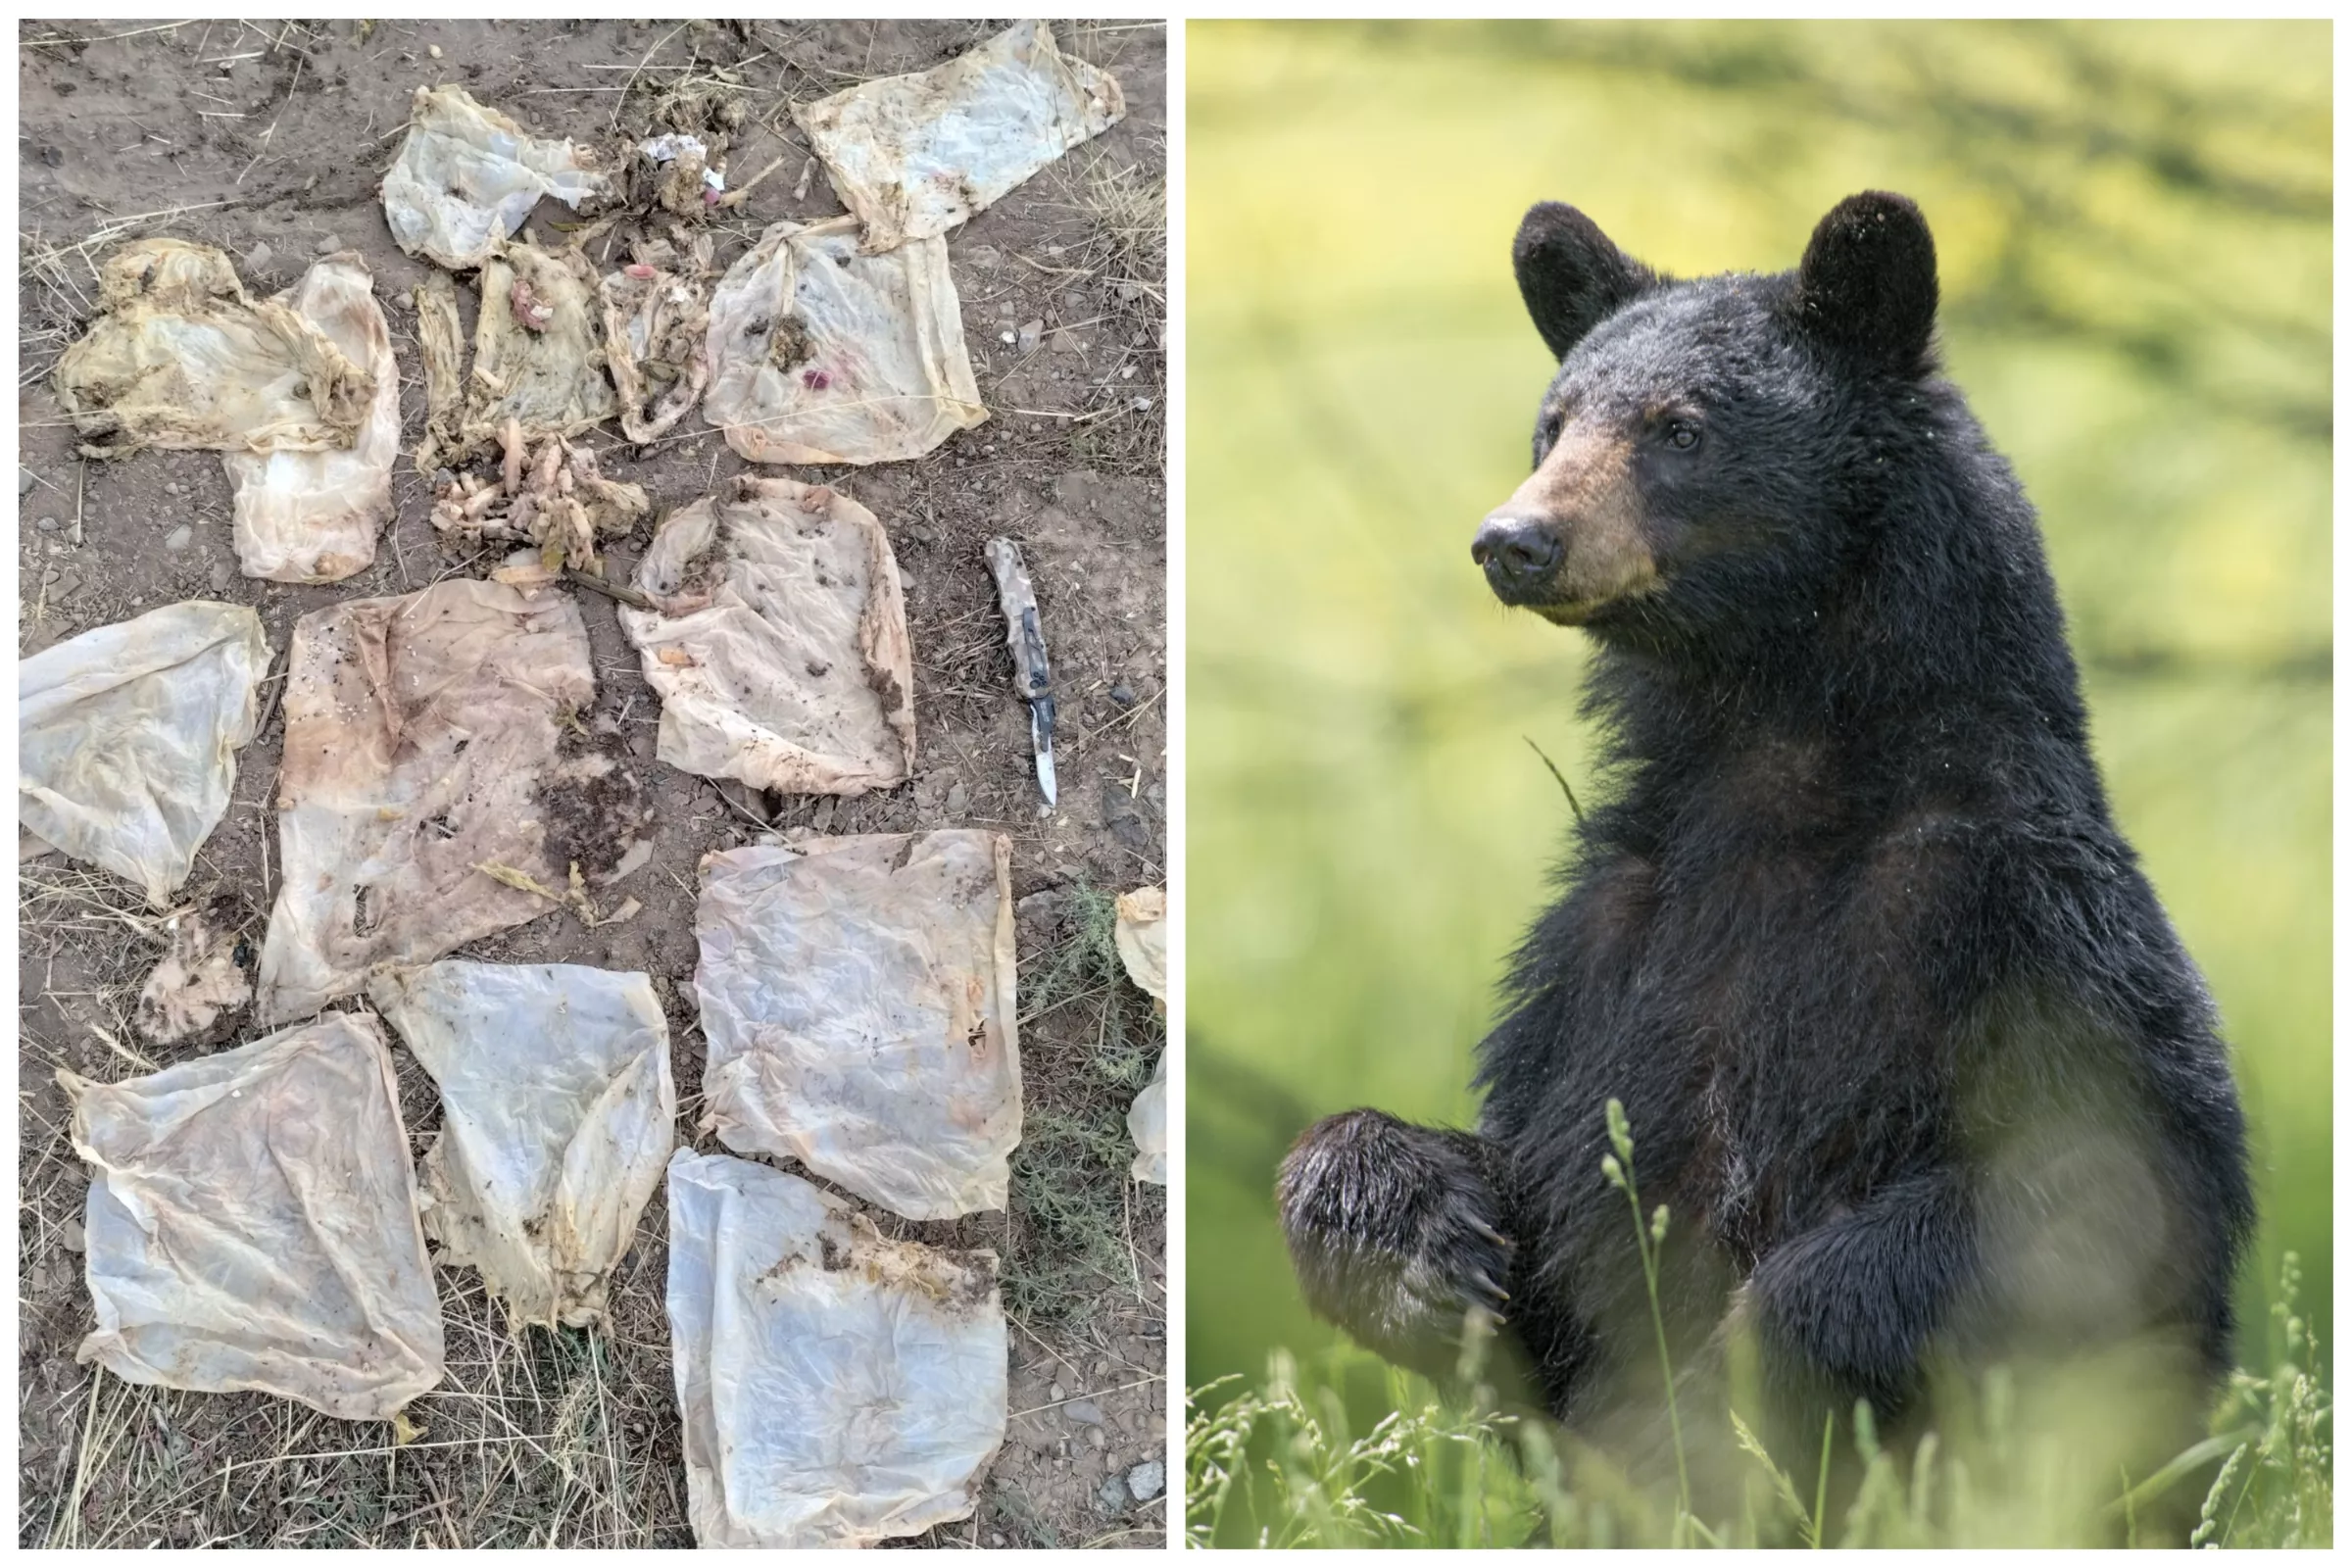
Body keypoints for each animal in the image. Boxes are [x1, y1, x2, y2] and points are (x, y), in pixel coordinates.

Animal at [1276, 192, 2253, 1521]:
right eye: (1554, 420)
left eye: (1678, 427)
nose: (1513, 539)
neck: (1774, 771)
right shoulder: (1605, 949)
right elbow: (1550, 1186)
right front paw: (1422, 1246)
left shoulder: (2018, 911)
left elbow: (2105, 1178)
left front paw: (1756, 1374)